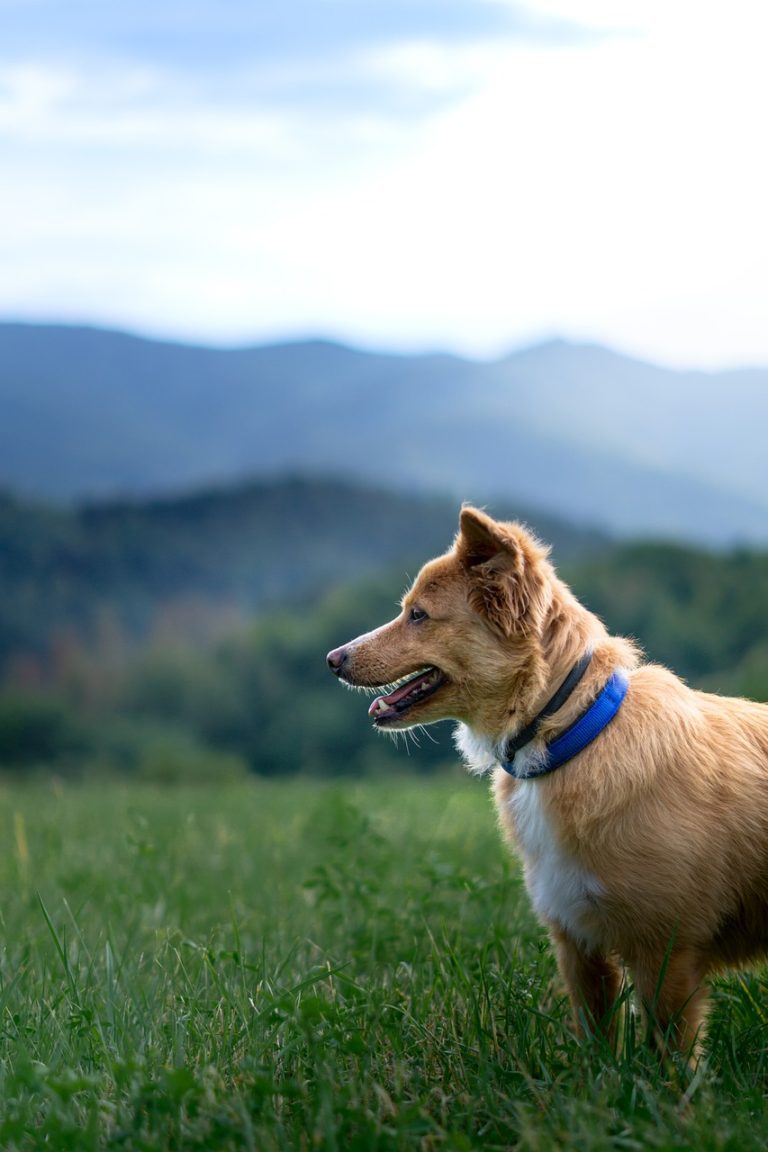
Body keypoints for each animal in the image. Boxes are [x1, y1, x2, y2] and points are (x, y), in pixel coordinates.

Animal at [327, 504, 768, 1059]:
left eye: (419, 615)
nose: (332, 659)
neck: (571, 734)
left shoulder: (666, 954)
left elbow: (669, 1057)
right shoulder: (578, 945)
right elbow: (597, 1043)